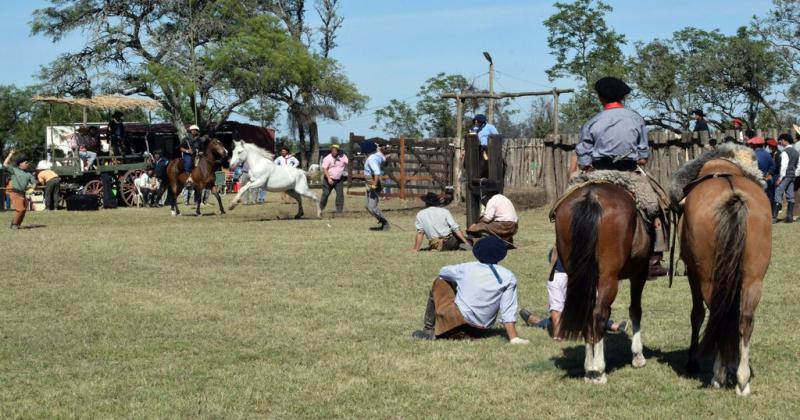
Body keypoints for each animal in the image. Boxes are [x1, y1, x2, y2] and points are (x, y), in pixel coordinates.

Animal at [552, 184, 652, 384]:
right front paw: (638, 356)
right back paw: (598, 369)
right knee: (598, 314)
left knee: (588, 313)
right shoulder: (639, 274)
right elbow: (635, 310)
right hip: (608, 276)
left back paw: (590, 370)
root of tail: (591, 197)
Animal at [680, 158, 772, 398]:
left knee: (716, 313)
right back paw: (742, 380)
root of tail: (733, 196)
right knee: (745, 319)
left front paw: (693, 361)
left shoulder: (693, 274)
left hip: (708, 279)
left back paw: (718, 376)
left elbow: (697, 314)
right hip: (753, 279)